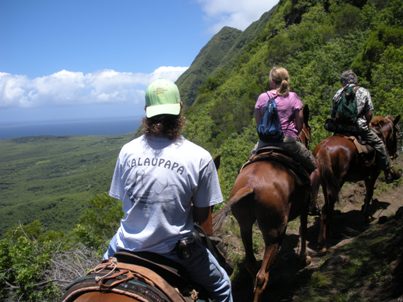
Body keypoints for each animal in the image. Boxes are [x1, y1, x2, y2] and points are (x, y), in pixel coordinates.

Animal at [213, 105, 314, 300]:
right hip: (273, 230)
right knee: (261, 276)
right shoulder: (305, 205)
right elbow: (304, 229)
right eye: (309, 128)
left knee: (252, 264)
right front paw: (304, 258)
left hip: (245, 225)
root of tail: (250, 186)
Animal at [316, 114, 400, 249]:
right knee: (326, 209)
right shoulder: (374, 173)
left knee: (329, 208)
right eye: (396, 132)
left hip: (325, 183)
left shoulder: (366, 176)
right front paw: (366, 218)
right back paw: (323, 243)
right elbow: (370, 193)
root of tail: (323, 150)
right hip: (337, 182)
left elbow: (367, 194)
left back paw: (330, 234)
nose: (395, 154)